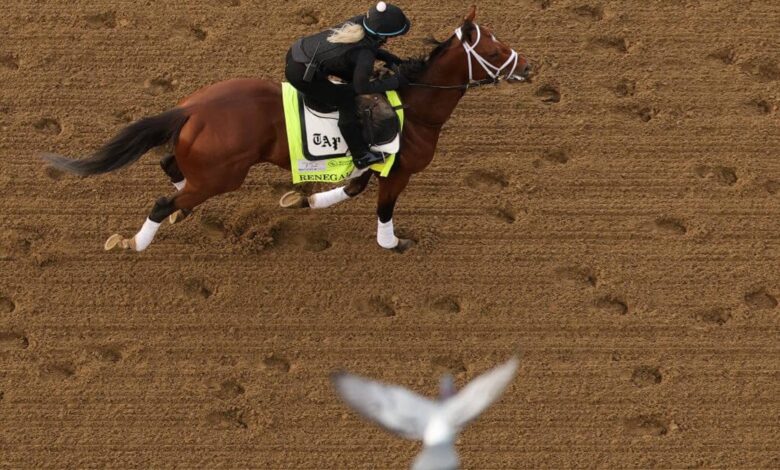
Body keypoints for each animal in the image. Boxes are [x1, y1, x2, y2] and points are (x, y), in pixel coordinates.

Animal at [42, 6, 531, 253]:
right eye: (494, 49)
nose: (528, 65)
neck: (415, 109)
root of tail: (190, 108)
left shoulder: (372, 165)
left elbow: (350, 187)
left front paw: (303, 199)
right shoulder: (398, 170)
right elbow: (383, 207)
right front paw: (392, 243)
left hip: (205, 161)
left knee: (169, 165)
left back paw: (180, 209)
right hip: (223, 174)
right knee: (163, 201)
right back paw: (135, 242)